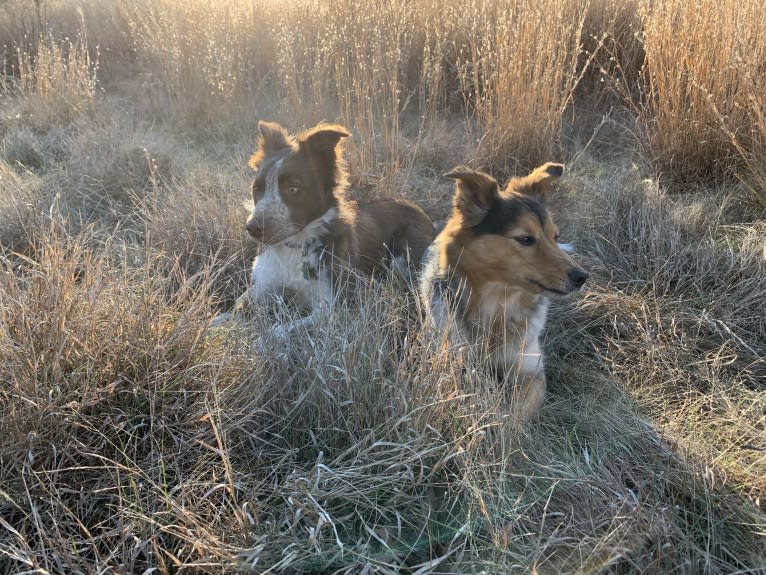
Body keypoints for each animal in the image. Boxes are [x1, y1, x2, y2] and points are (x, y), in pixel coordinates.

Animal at [213, 120, 436, 340]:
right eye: (257, 188)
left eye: (293, 189)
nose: (252, 229)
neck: (295, 247)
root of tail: (416, 209)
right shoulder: (260, 289)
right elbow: (233, 310)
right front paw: (217, 323)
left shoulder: (334, 306)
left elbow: (280, 330)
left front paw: (263, 339)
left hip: (402, 261)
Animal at [420, 164, 588, 420]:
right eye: (525, 239)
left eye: (555, 237)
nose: (582, 277)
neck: (499, 304)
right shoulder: (452, 362)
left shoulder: (532, 374)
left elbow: (516, 413)